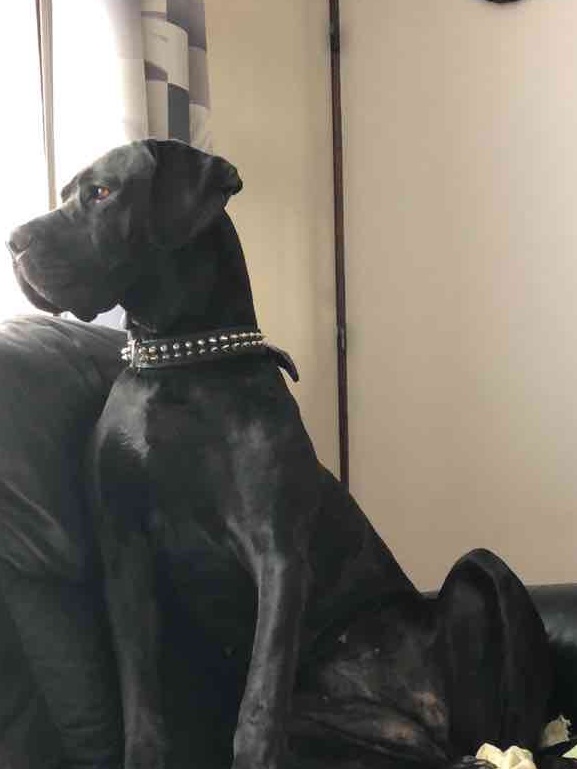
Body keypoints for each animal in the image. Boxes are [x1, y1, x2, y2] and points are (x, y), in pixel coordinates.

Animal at [8, 140, 554, 769]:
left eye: (101, 193)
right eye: (69, 191)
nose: (14, 240)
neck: (181, 364)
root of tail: (430, 723)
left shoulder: (278, 553)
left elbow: (258, 701)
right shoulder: (125, 559)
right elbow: (141, 697)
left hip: (481, 572)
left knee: (507, 729)